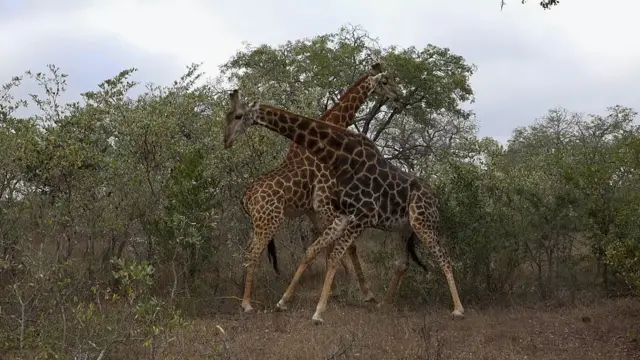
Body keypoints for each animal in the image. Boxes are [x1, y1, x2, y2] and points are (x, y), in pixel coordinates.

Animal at [222, 63, 462, 324]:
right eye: (385, 81)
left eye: (236, 115)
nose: (399, 100)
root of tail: (245, 197)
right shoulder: (328, 208)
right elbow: (331, 249)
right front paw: (354, 293)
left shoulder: (328, 210)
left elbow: (327, 250)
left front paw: (345, 294)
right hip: (269, 221)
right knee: (252, 253)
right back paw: (246, 303)